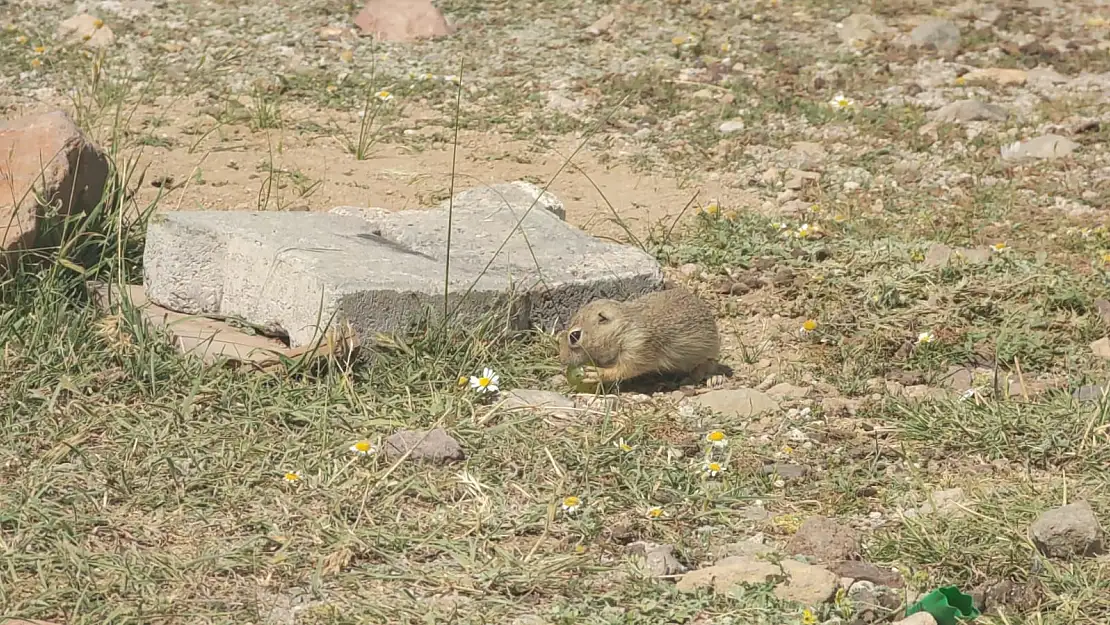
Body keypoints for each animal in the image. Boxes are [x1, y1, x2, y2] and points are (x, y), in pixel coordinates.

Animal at [559, 288, 723, 386]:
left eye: (574, 336)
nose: (562, 359)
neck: (623, 329)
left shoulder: (639, 348)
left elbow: (623, 370)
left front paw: (597, 373)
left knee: (710, 365)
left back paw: (713, 378)